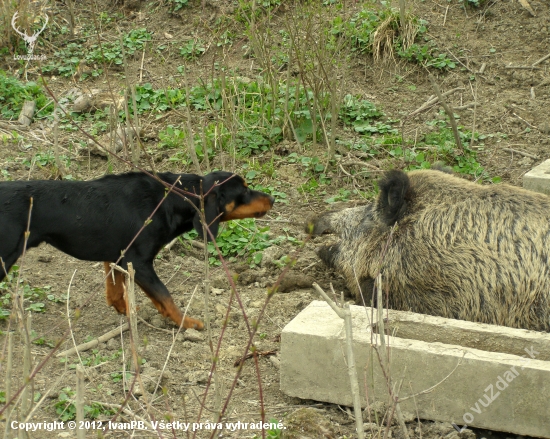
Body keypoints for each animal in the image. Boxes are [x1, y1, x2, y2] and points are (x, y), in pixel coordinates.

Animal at [0, 172, 276, 330]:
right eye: (244, 190)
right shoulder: (140, 263)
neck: (168, 198)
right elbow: (165, 296)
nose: (273, 199)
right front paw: (186, 322)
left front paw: (124, 309)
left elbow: (115, 290)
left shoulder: (118, 257)